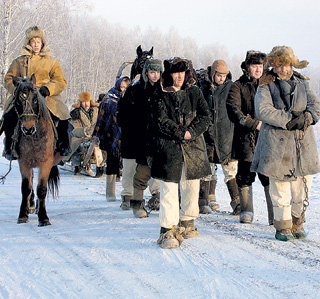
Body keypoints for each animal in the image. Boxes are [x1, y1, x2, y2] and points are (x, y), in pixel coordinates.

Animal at [12, 75, 60, 227]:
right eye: (18, 100)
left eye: (34, 99)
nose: (28, 128)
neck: (35, 137)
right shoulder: (24, 163)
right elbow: (26, 188)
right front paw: (23, 214)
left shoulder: (45, 163)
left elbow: (42, 189)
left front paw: (43, 217)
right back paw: (32, 206)